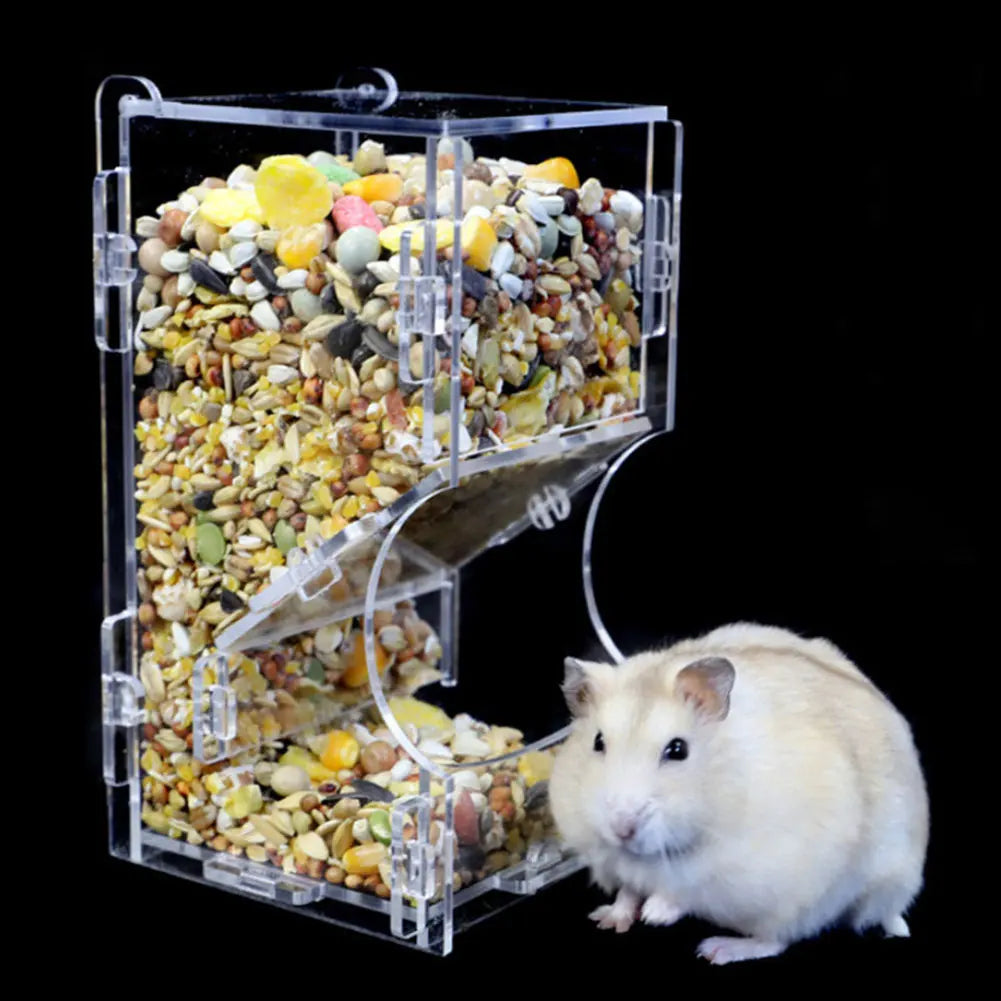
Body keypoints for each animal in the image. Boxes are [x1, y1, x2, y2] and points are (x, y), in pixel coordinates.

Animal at [548, 623, 929, 965]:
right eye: (598, 742)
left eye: (678, 750)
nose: (621, 828)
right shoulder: (613, 860)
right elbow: (628, 888)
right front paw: (610, 919)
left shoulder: (740, 864)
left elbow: (689, 886)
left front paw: (654, 915)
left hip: (805, 900)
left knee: (776, 939)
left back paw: (717, 950)